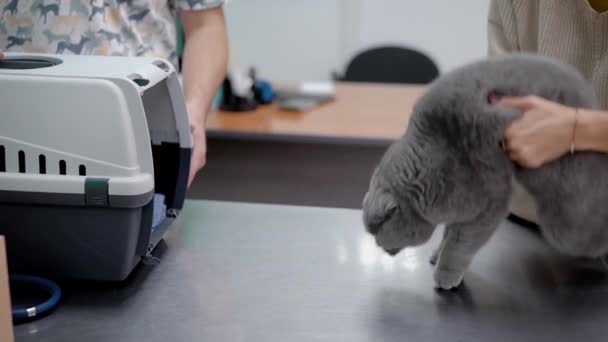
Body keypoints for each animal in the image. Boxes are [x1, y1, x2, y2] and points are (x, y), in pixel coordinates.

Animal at [360, 52, 604, 290]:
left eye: (378, 235)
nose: (381, 248)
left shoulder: (488, 205)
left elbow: (459, 246)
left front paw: (445, 275)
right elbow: (448, 233)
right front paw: (437, 254)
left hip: (566, 215)